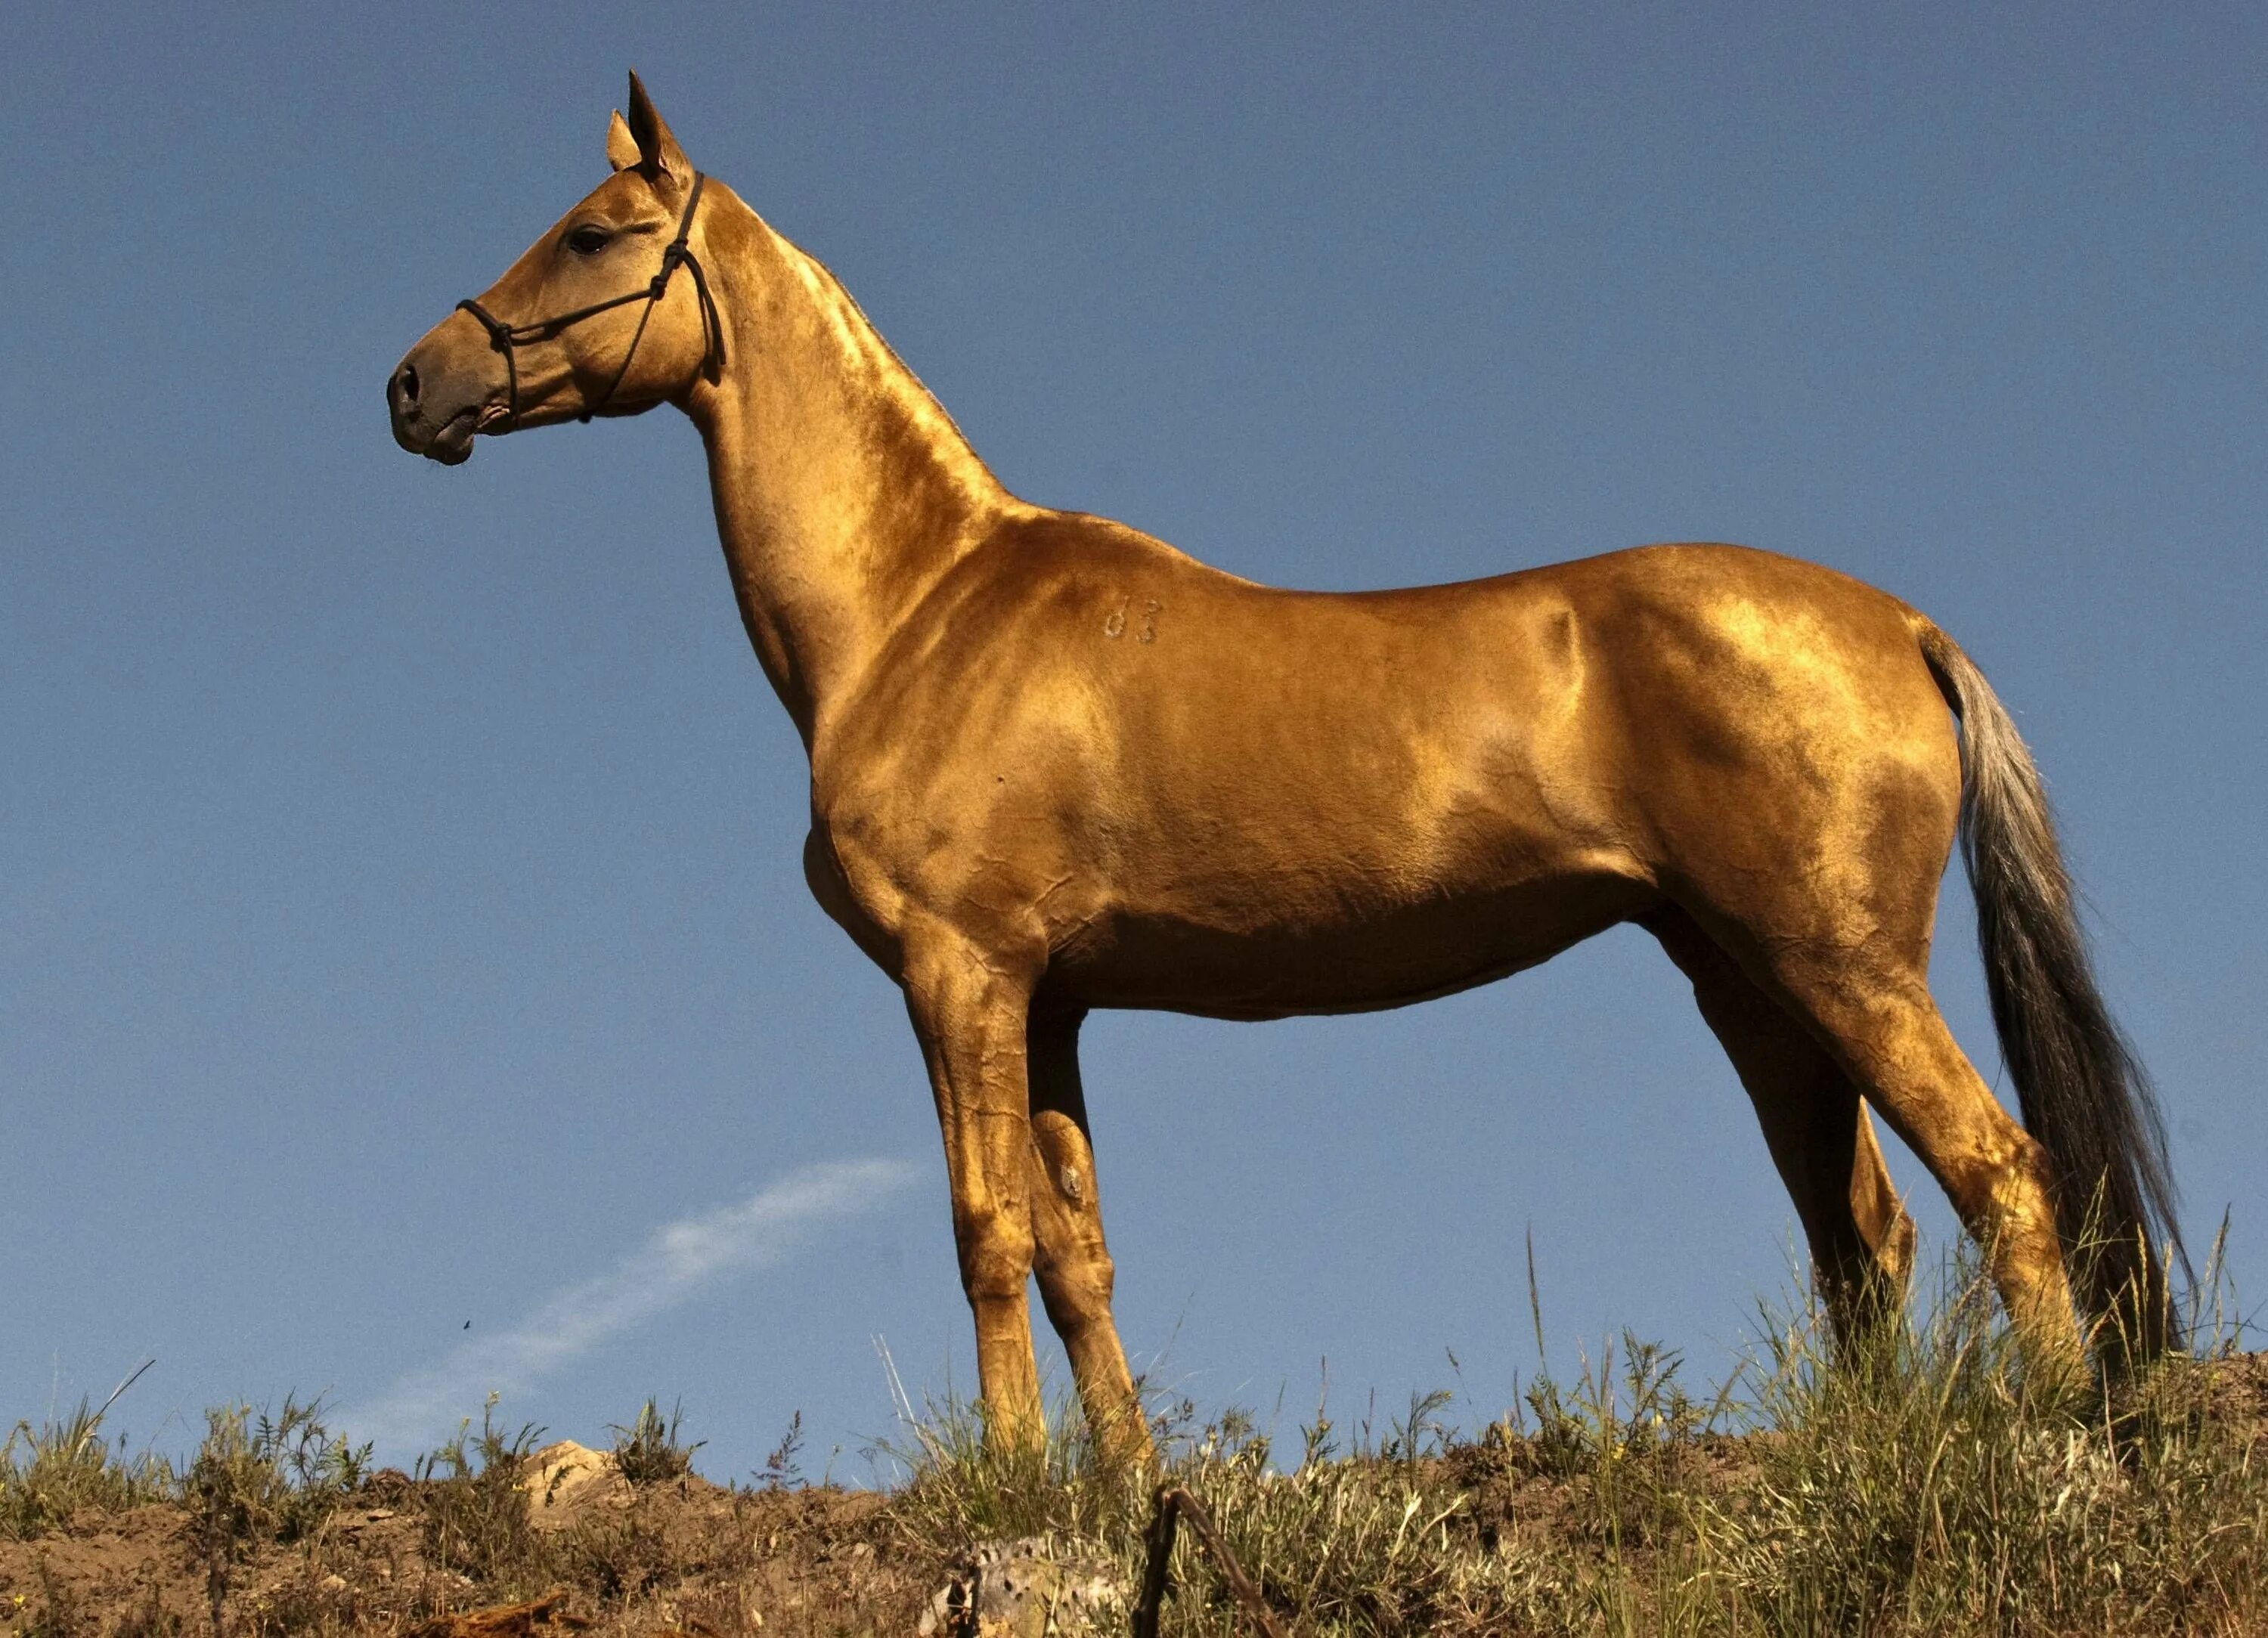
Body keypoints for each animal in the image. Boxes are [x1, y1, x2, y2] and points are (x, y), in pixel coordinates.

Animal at [386, 73, 2177, 1451]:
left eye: (597, 233)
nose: (417, 383)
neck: (922, 607)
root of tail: (1903, 625)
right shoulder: (1053, 1000)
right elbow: (1078, 1251)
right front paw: (1120, 1485)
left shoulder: (961, 974)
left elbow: (985, 1230)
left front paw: (1012, 1482)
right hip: (1748, 978)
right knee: (1859, 1231)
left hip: (1840, 965)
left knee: (2001, 1177)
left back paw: (2060, 1438)